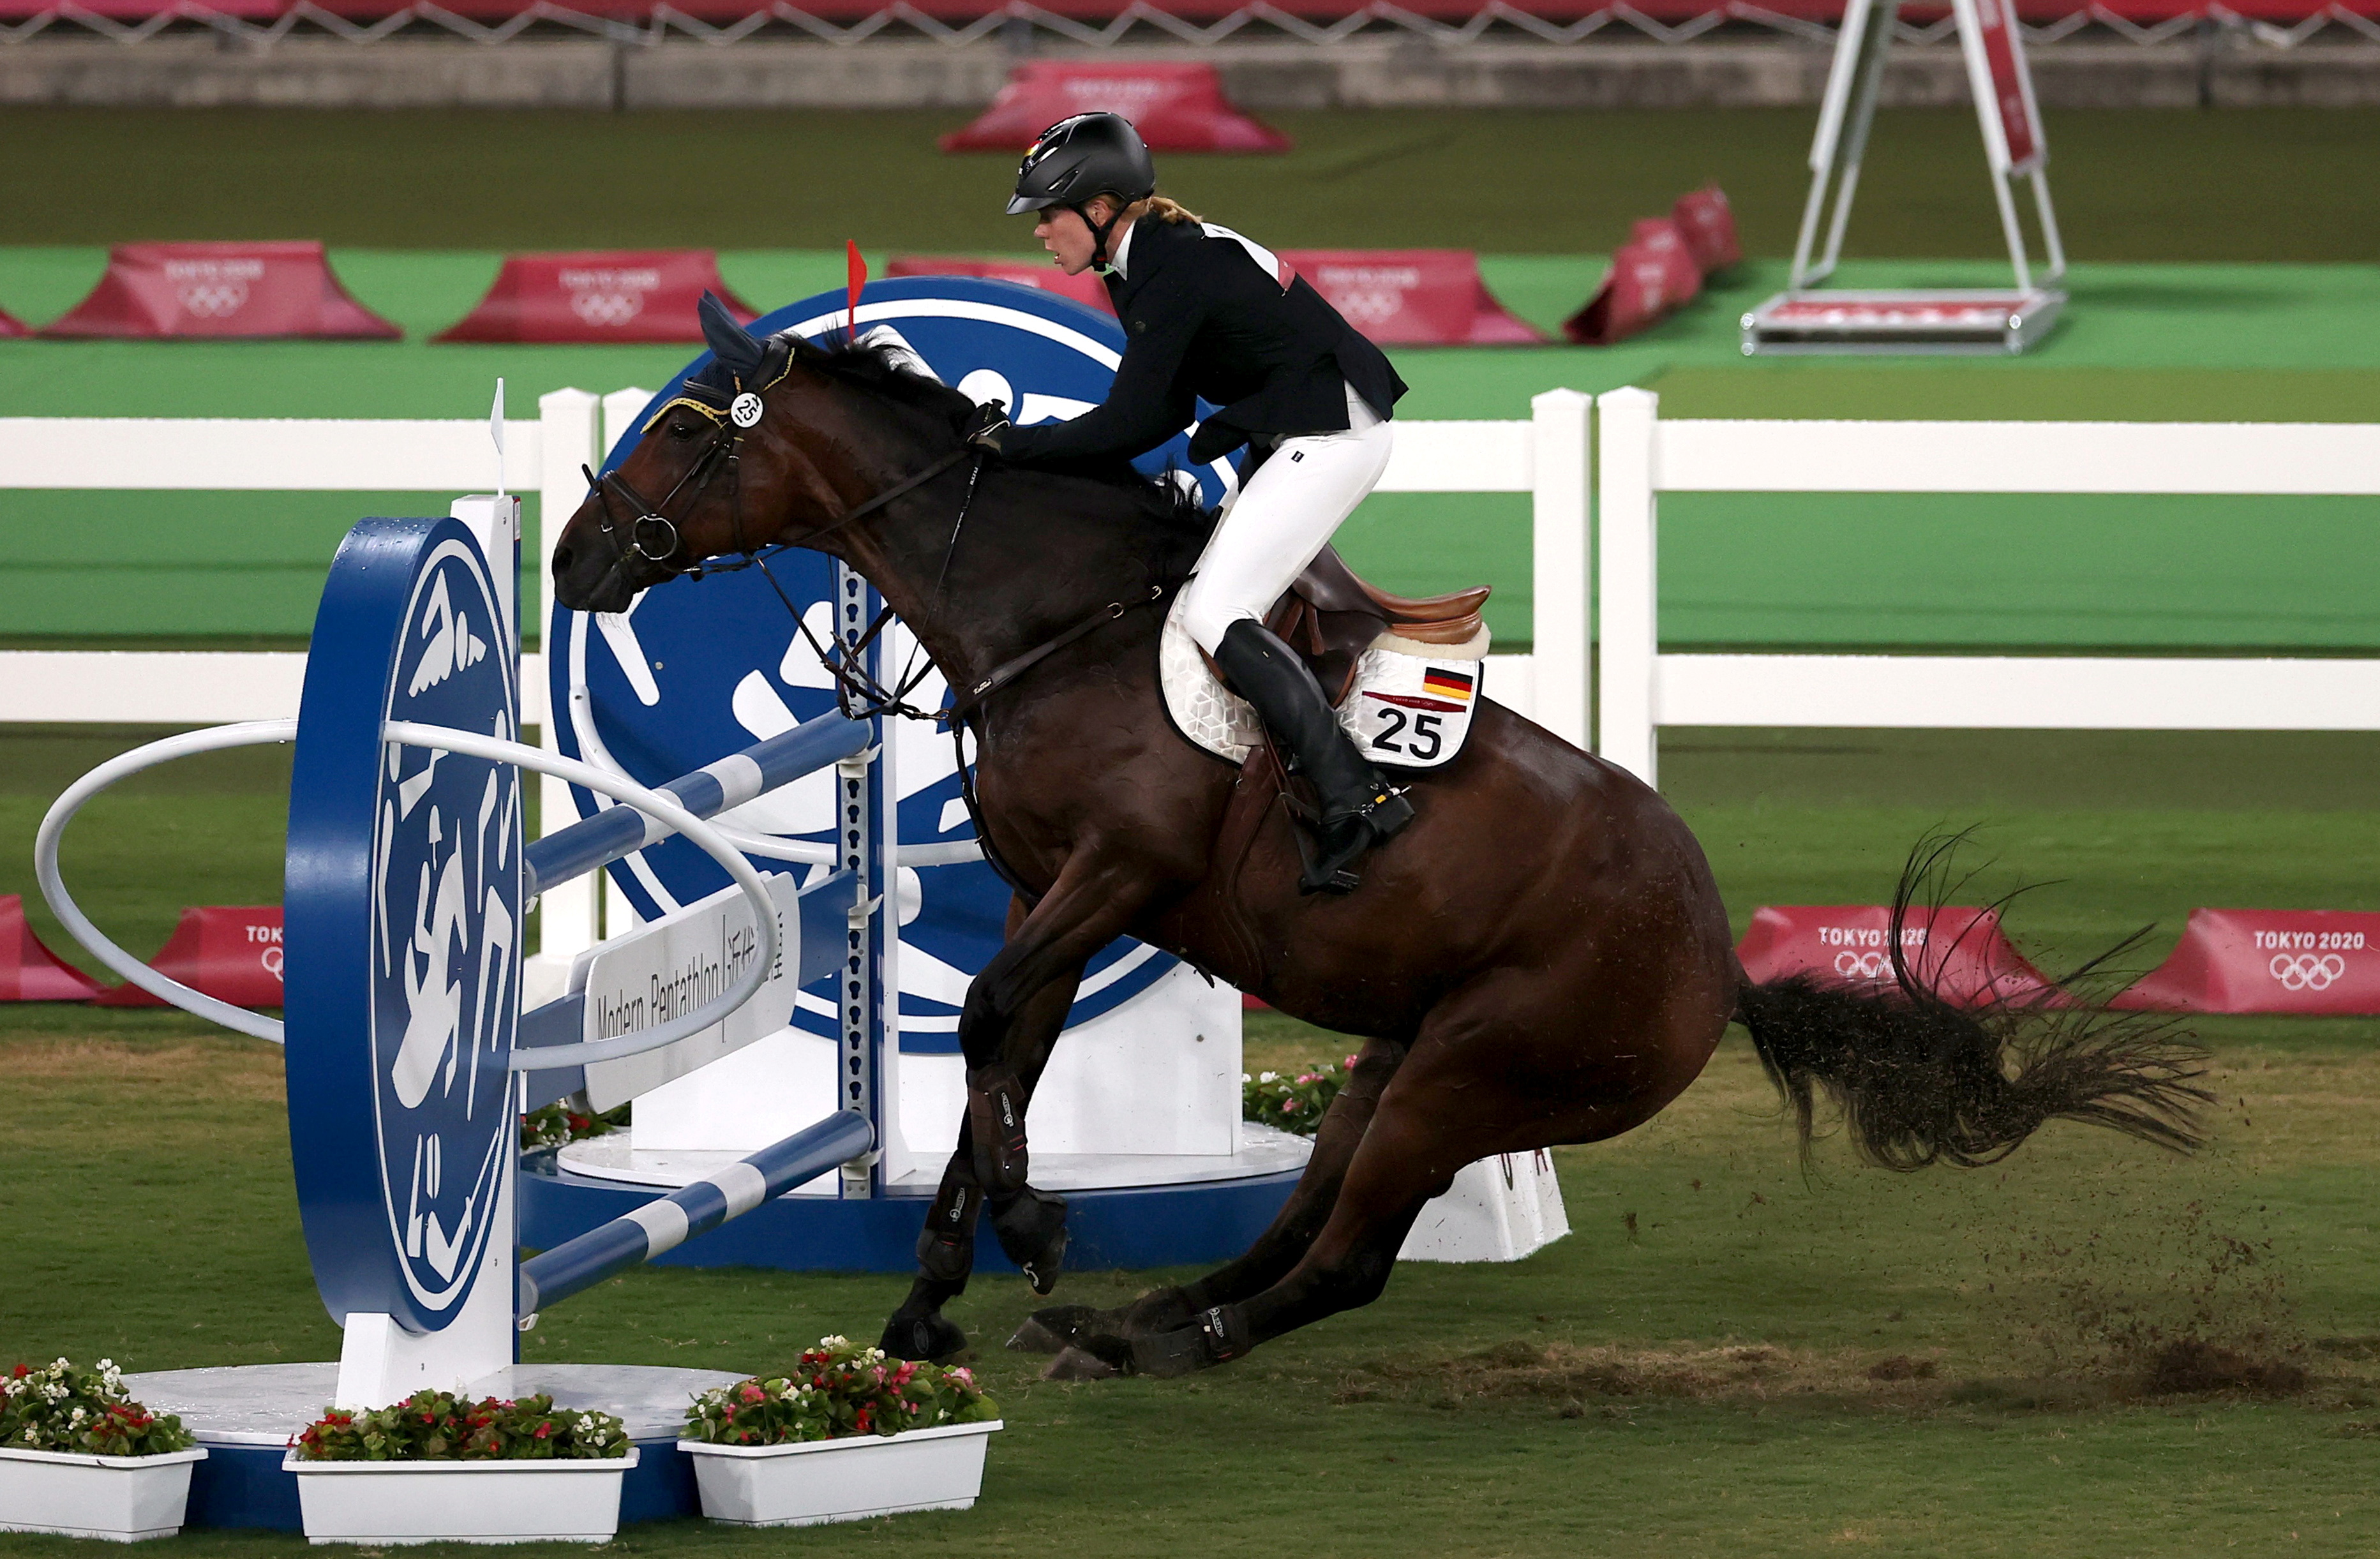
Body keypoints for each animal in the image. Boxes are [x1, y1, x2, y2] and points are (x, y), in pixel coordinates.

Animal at [547, 304, 2199, 1380]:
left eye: (686, 426)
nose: (573, 556)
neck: (1051, 616)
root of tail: (1718, 968)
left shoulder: (1116, 873)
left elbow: (988, 1022)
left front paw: (1019, 1229)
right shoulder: (1049, 891)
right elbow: (1002, 1041)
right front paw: (938, 1292)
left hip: (1474, 1072)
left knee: (1343, 1259)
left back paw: (1168, 1343)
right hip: (1393, 1061)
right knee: (1300, 1221)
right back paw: (1137, 1317)